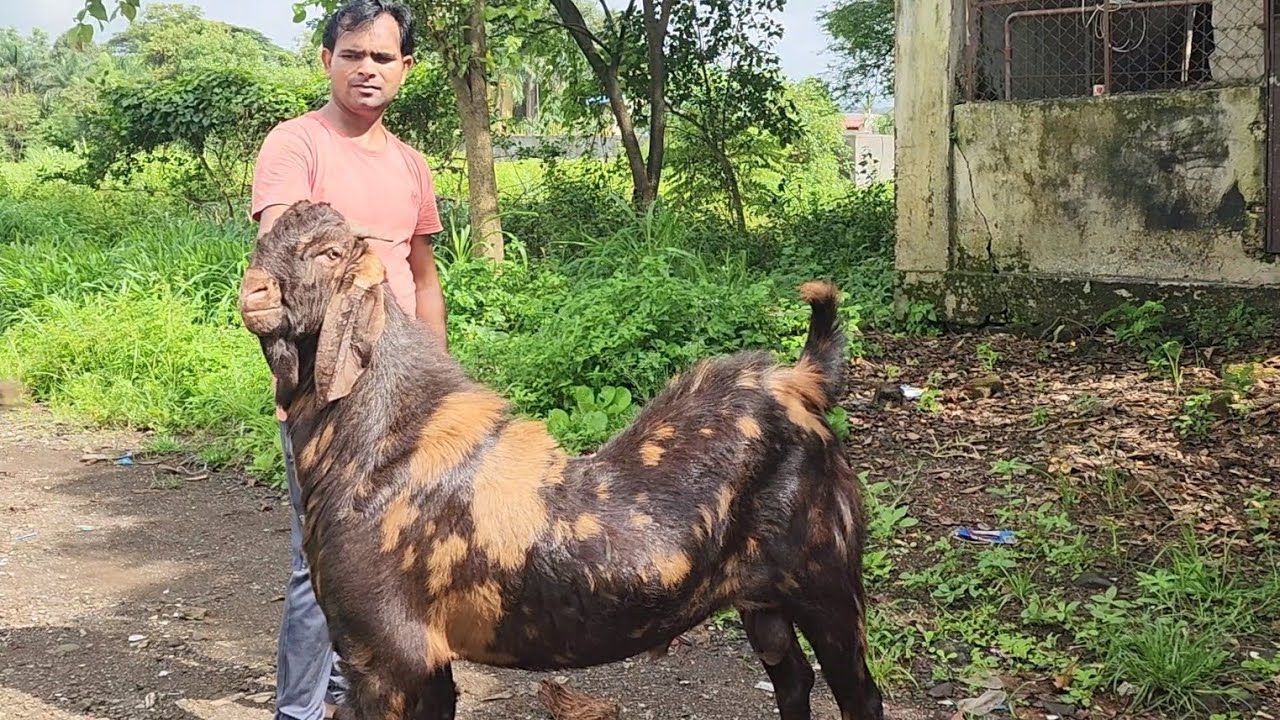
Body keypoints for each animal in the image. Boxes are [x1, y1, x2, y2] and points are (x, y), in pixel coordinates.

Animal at [238, 200, 884, 720]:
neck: (379, 444)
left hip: (826, 581)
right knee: (792, 678)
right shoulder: (424, 662)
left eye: (329, 253)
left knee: (860, 693)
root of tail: (800, 383)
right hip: (762, 600)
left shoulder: (388, 656)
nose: (253, 292)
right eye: (262, 237)